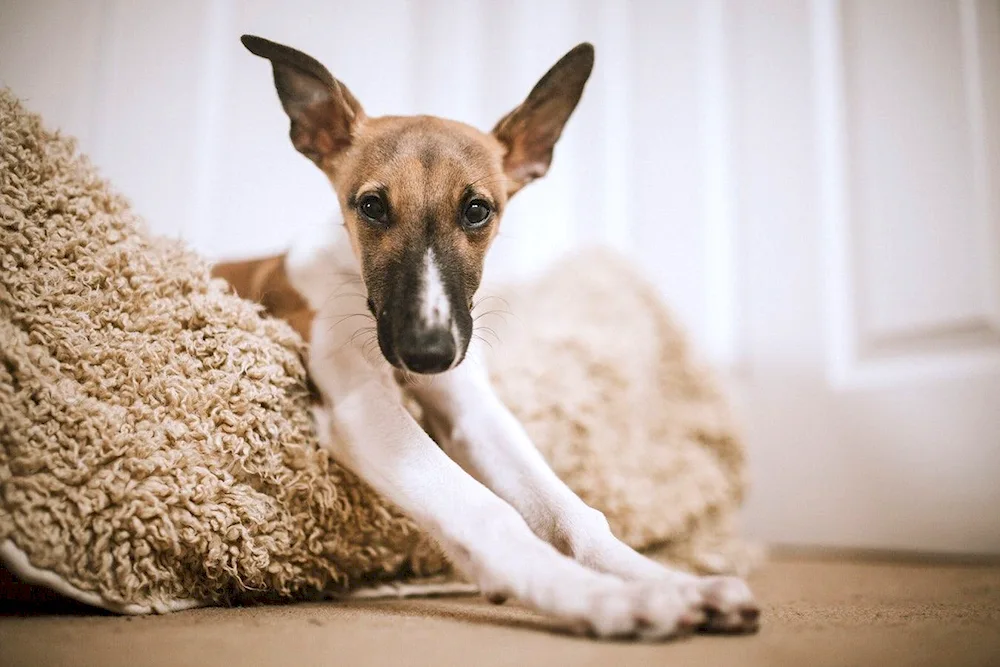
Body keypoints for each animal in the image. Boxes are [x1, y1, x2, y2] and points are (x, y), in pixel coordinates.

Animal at [211, 34, 756, 640]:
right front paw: (604, 597)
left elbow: (574, 512)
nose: (427, 355)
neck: (351, 277)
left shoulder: (472, 409)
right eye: (372, 205)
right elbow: (488, 512)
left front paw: (669, 580)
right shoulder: (361, 406)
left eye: (477, 210)